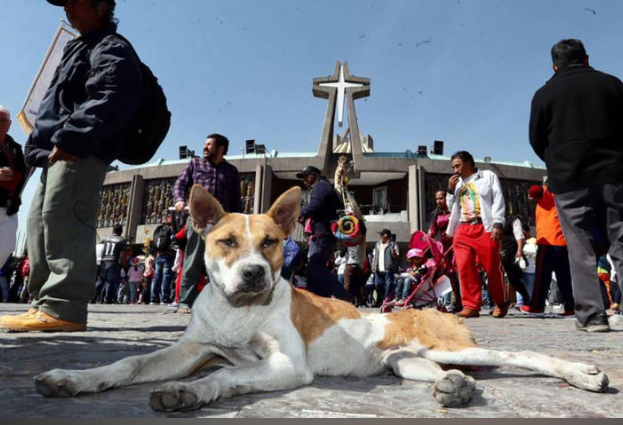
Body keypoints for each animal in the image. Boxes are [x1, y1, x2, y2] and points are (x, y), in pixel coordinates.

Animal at [34, 185, 608, 410]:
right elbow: (129, 364)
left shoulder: (287, 365)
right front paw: (74, 379)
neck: (238, 314)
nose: (254, 274)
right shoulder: (193, 350)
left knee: (521, 354)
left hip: (454, 344)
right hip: (405, 363)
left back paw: (583, 373)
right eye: (226, 242)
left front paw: (189, 394)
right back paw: (456, 389)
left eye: (270, 242)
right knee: (447, 374)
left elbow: (225, 377)